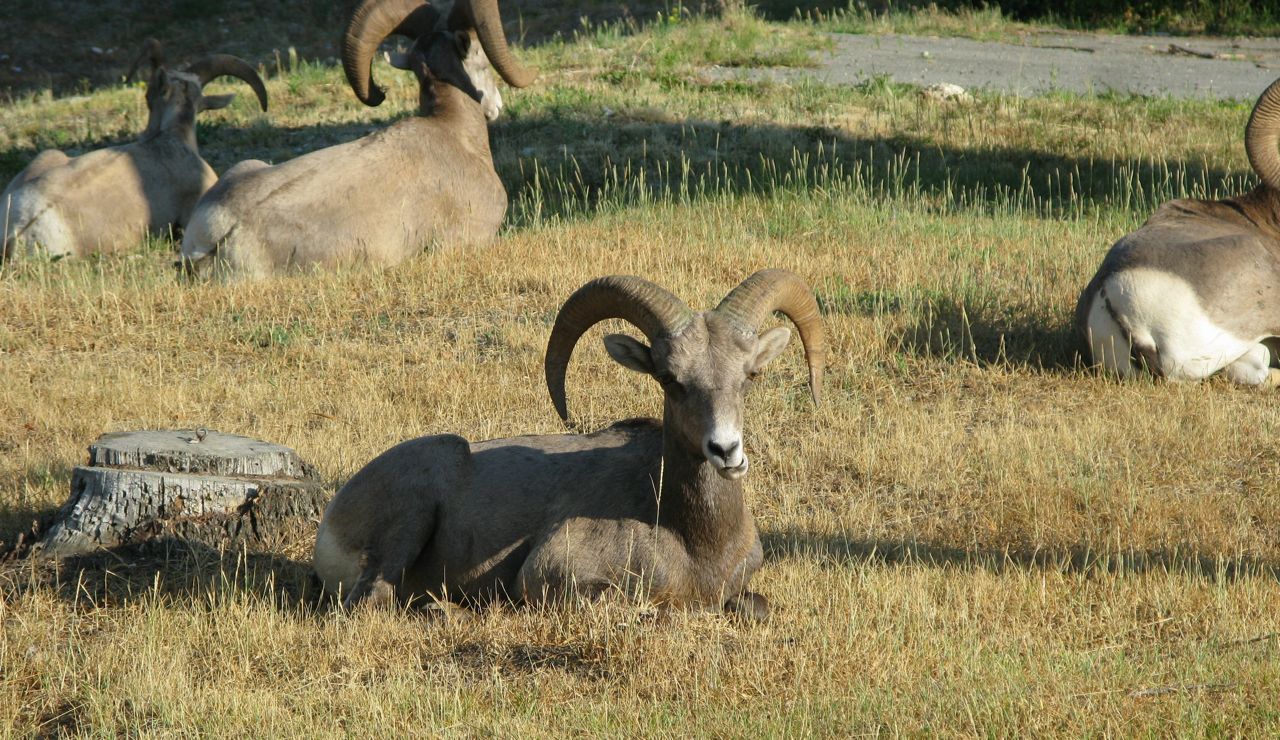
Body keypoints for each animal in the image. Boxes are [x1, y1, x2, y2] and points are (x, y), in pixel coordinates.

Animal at [313, 269, 826, 619]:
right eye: (669, 379)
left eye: (749, 376)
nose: (725, 451)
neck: (693, 539)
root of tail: (333, 519)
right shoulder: (553, 576)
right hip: (415, 507)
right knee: (372, 600)